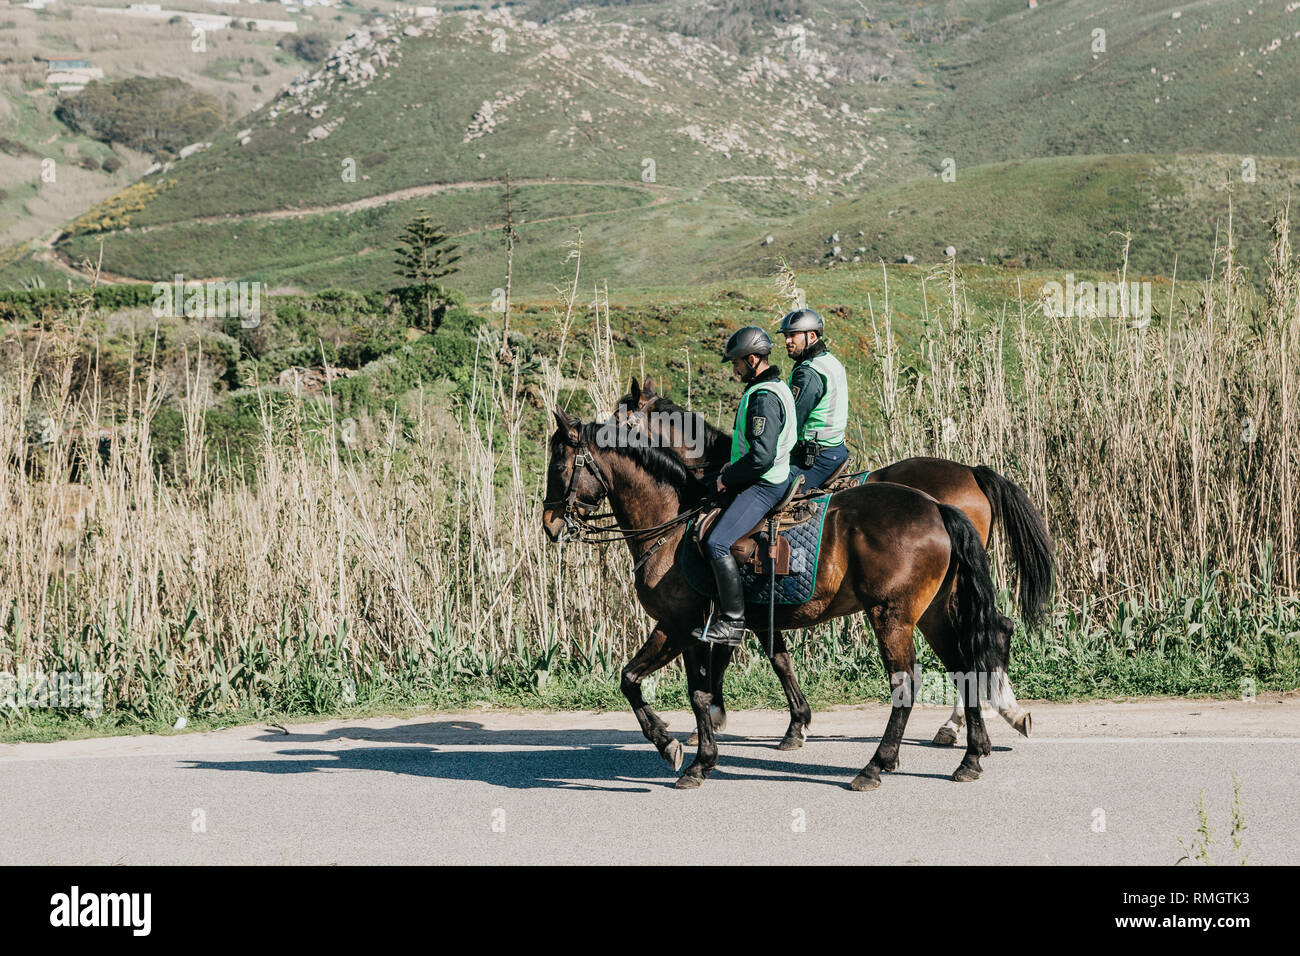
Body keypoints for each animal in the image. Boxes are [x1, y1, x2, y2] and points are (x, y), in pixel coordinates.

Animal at [543, 411, 1008, 790]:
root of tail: (937, 507)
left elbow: (652, 683)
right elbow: (710, 682)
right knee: (967, 664)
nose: (549, 523)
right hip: (932, 614)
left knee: (907, 682)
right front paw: (705, 751)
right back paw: (971, 755)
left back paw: (877, 765)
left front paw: (674, 747)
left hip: (891, 616)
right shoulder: (721, 626)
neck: (674, 525)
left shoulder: (679, 625)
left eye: (559, 465)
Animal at [613, 377, 1050, 749]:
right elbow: (769, 656)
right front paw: (783, 722)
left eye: (618, 420)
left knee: (985, 633)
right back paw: (994, 715)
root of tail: (971, 474)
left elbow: (746, 654)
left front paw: (724, 718)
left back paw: (967, 721)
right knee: (995, 628)